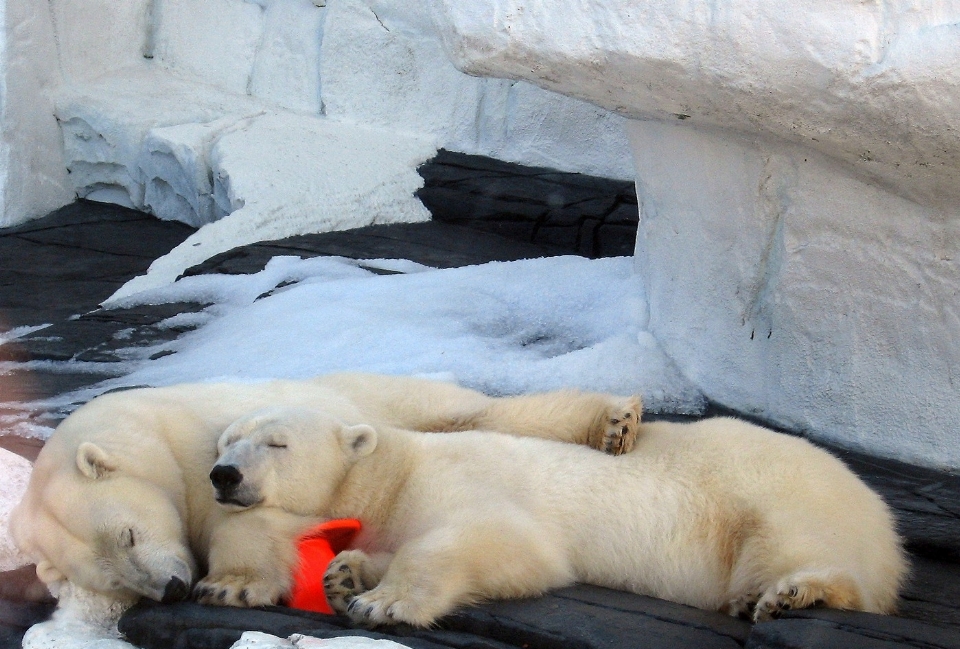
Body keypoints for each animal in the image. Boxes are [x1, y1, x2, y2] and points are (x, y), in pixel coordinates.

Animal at [11, 372, 640, 604]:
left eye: (130, 533)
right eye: (115, 580)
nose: (168, 589)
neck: (154, 429)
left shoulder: (205, 451)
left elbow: (249, 519)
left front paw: (233, 585)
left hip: (390, 398)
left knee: (484, 414)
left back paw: (614, 424)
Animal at [210, 402, 908, 624]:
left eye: (276, 442)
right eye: (226, 441)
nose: (223, 475)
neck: (395, 472)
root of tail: (883, 518)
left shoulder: (459, 482)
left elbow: (502, 543)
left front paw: (383, 601)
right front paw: (346, 573)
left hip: (777, 495)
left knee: (799, 547)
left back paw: (791, 593)